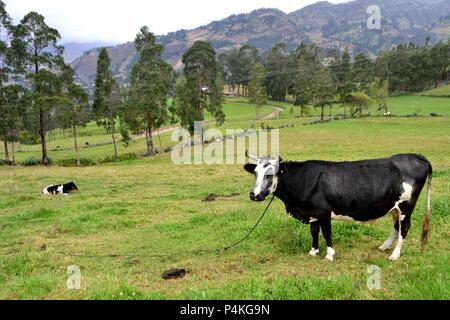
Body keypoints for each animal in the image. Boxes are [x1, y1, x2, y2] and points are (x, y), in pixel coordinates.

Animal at [244, 153, 434, 262]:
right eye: (255, 173)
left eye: (269, 175)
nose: (254, 195)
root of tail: (416, 156)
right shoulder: (312, 212)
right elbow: (314, 231)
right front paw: (313, 251)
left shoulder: (323, 211)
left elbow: (327, 233)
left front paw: (329, 254)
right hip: (394, 207)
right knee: (396, 226)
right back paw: (384, 246)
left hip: (406, 205)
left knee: (405, 227)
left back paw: (394, 255)